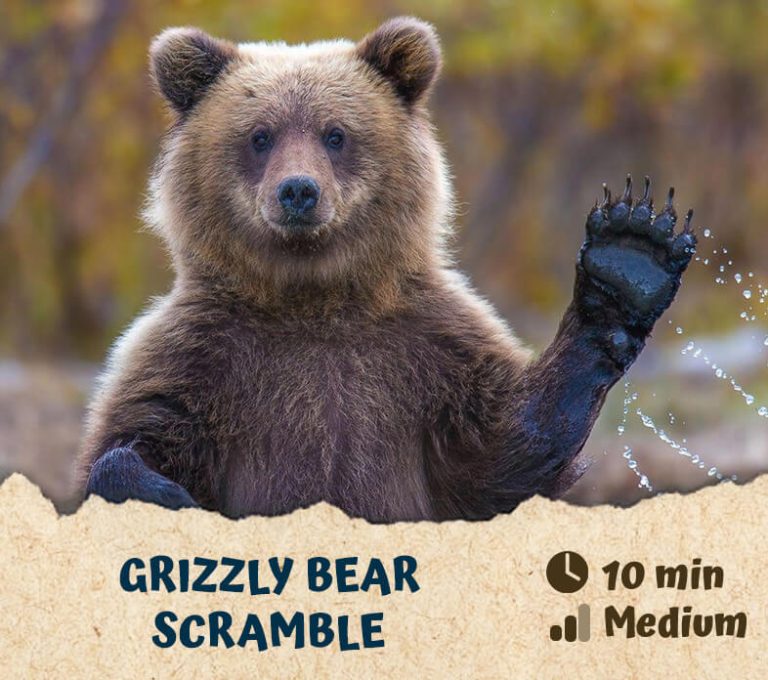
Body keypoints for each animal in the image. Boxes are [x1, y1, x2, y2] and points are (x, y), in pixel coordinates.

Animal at [78, 17, 696, 522]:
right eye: (259, 135)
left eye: (335, 133)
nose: (298, 191)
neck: (314, 297)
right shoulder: (198, 358)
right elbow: (133, 438)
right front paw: (162, 491)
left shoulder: (430, 353)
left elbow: (503, 453)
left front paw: (629, 258)